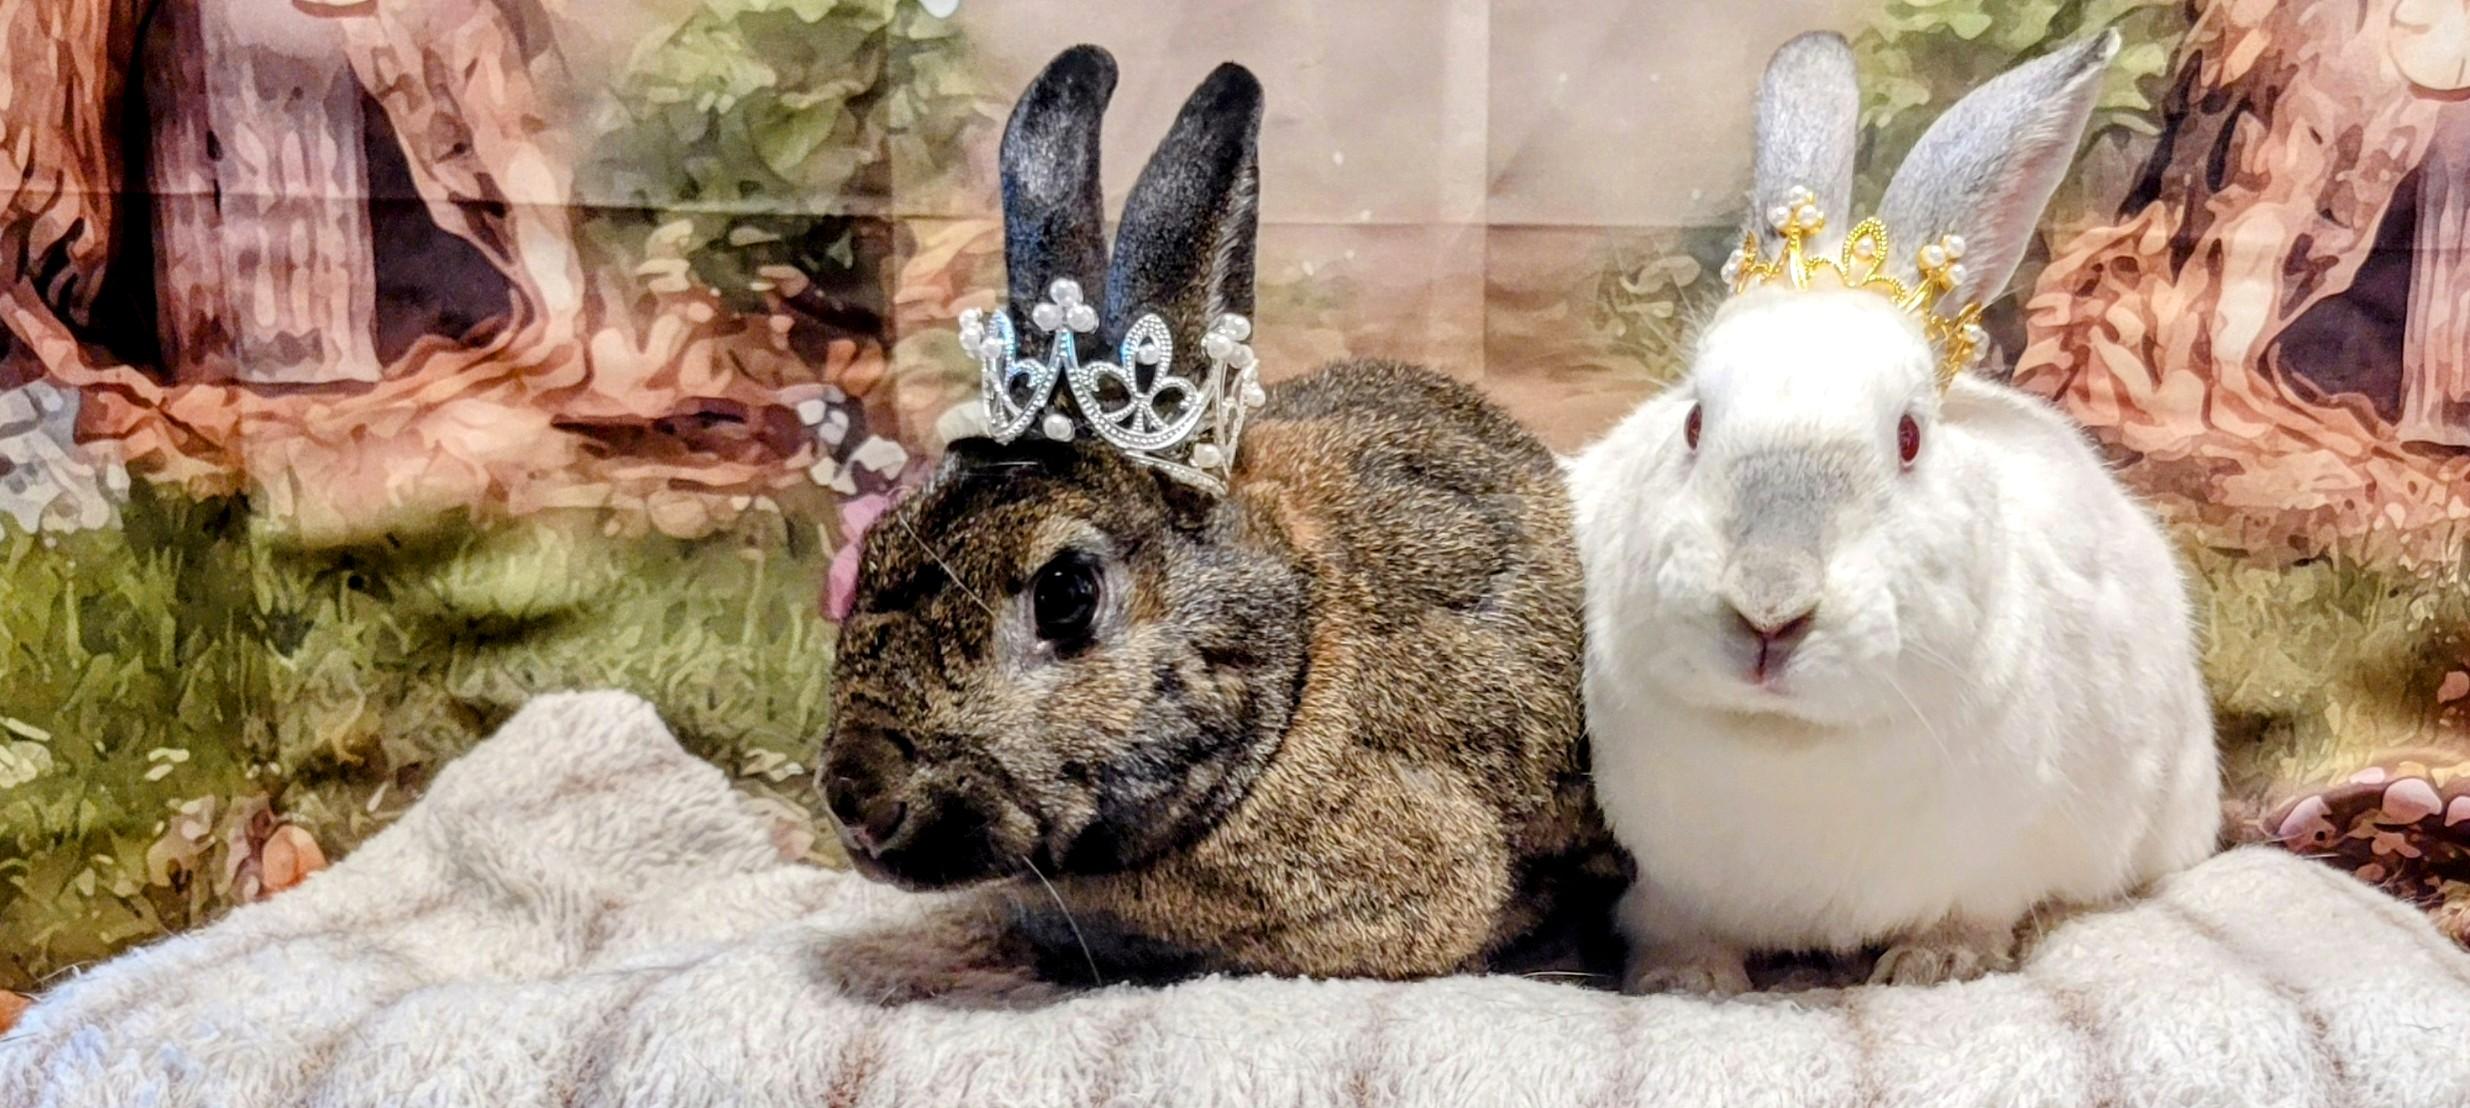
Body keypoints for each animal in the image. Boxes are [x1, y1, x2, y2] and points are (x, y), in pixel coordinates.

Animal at [1566, 30, 2221, 995]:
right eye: (1693, 423)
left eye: (1909, 437)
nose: (1768, 609)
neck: (1789, 741)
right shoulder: (1662, 890)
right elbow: (1676, 932)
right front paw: (1688, 981)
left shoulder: (1996, 864)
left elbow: (1973, 916)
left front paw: (1934, 966)